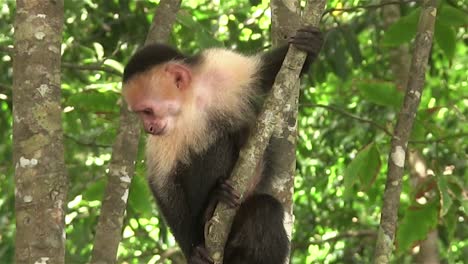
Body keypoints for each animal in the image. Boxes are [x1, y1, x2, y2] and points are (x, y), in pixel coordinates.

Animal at [122, 25, 324, 264]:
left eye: (147, 111)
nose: (149, 128)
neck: (189, 102)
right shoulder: (165, 135)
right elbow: (161, 183)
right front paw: (192, 249)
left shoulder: (220, 67)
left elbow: (266, 74)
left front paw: (311, 45)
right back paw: (210, 209)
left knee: (265, 208)